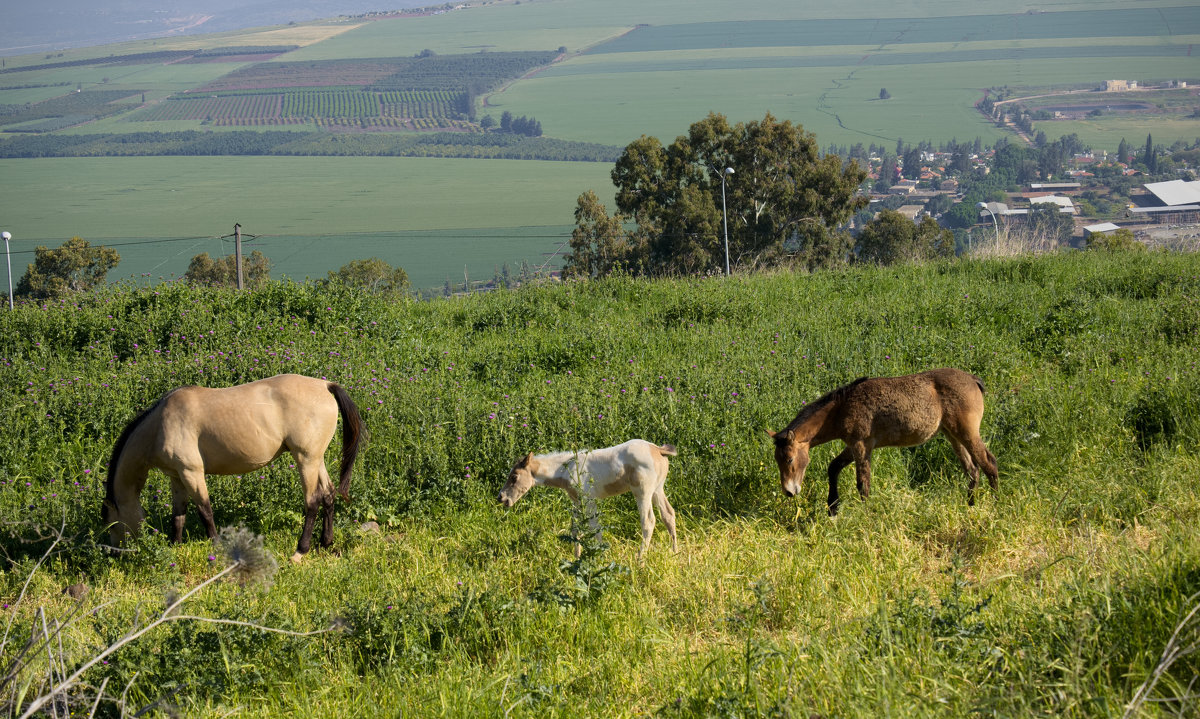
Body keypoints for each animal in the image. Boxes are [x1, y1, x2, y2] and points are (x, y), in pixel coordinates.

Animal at [100, 376, 362, 561]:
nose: (114, 553)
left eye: (111, 522)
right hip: (316, 458)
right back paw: (326, 542)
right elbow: (178, 515)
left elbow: (205, 512)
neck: (160, 425)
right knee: (328, 494)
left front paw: (216, 547)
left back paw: (300, 551)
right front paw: (175, 546)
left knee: (312, 501)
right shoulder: (177, 477)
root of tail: (325, 385)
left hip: (305, 459)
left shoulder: (192, 473)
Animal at [499, 439, 681, 561]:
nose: (501, 497)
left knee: (648, 521)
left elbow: (595, 528)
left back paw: (640, 561)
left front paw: (601, 557)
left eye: (514, 477)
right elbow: (576, 529)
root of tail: (657, 449)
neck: (566, 469)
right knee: (668, 515)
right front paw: (577, 558)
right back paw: (675, 553)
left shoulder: (589, 500)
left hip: (643, 492)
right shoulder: (576, 501)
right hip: (658, 489)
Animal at [768, 369, 1003, 513]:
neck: (842, 407)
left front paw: (865, 515)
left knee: (988, 463)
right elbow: (833, 468)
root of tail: (972, 379)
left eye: (789, 460)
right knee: (973, 469)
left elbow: (863, 484)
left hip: (967, 433)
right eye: (777, 461)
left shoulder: (861, 446)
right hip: (953, 436)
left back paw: (996, 506)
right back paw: (970, 505)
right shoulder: (852, 447)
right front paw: (833, 508)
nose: (789, 491)